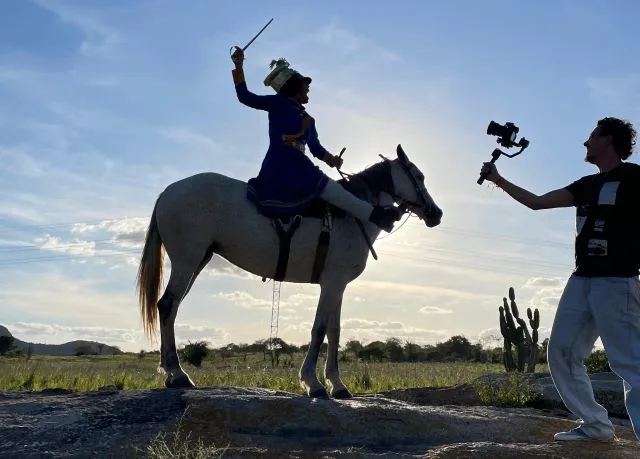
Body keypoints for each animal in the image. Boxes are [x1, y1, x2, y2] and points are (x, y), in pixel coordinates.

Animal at [138, 145, 442, 398]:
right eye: (418, 176)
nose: (436, 214)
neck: (355, 214)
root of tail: (169, 191)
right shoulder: (331, 282)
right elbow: (319, 329)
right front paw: (313, 383)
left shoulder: (338, 284)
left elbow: (334, 331)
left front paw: (338, 385)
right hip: (187, 262)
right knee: (168, 305)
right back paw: (177, 374)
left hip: (197, 262)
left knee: (171, 307)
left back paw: (172, 373)